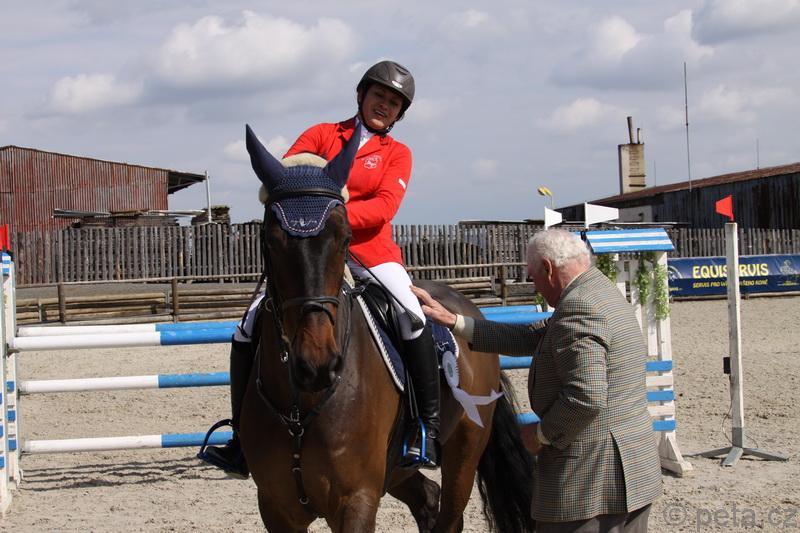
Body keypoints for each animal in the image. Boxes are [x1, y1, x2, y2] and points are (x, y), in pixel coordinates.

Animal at [238, 124, 535, 533]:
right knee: (428, 499)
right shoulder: (275, 507)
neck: (302, 404)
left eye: (346, 238)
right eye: (270, 239)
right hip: (398, 470)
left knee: (449, 513)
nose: (316, 366)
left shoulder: (355, 500)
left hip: (465, 447)